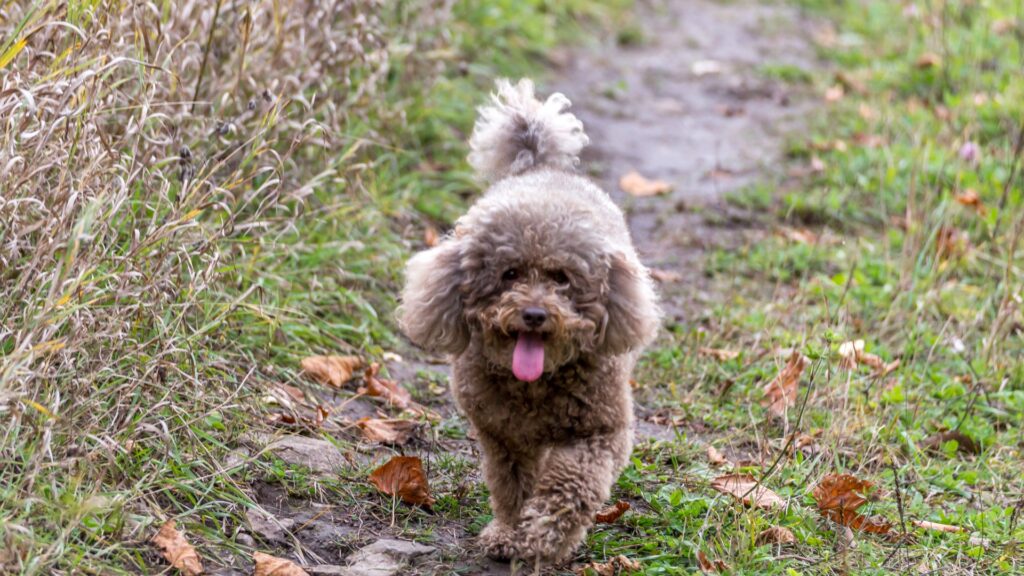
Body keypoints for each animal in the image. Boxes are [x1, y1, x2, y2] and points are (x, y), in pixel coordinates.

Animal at [395, 77, 659, 565]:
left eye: (562, 278)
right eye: (510, 274)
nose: (534, 315)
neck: (536, 388)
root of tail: (539, 167)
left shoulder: (601, 433)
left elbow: (572, 484)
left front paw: (546, 535)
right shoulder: (502, 437)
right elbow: (511, 487)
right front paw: (509, 534)